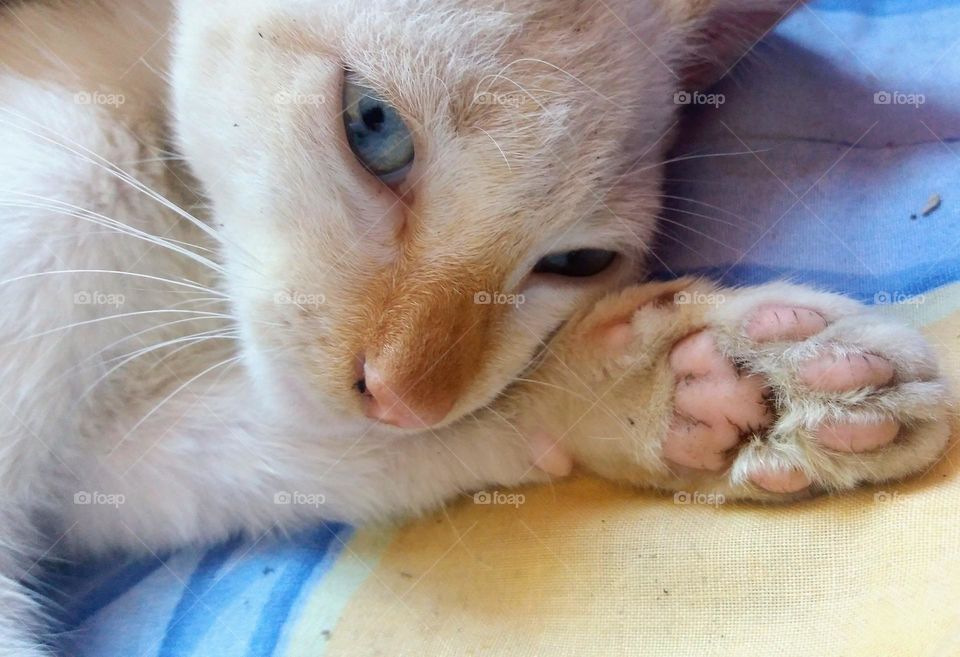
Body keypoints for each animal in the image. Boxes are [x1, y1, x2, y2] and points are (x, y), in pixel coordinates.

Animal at [0, 2, 948, 652]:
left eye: (576, 261)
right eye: (373, 125)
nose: (402, 398)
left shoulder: (96, 468)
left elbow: (306, 458)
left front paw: (705, 390)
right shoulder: (72, 182)